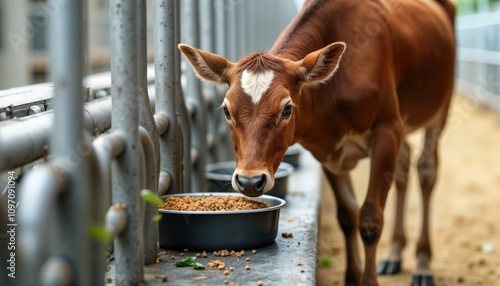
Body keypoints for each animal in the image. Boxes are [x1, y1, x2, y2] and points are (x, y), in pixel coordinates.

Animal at [181, 1, 458, 284]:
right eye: (226, 110)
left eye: (287, 109)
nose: (249, 181)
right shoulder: (328, 151)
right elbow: (347, 216)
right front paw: (352, 278)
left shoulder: (388, 128)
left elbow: (370, 219)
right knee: (404, 164)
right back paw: (394, 255)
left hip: (440, 106)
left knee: (426, 170)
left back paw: (422, 265)